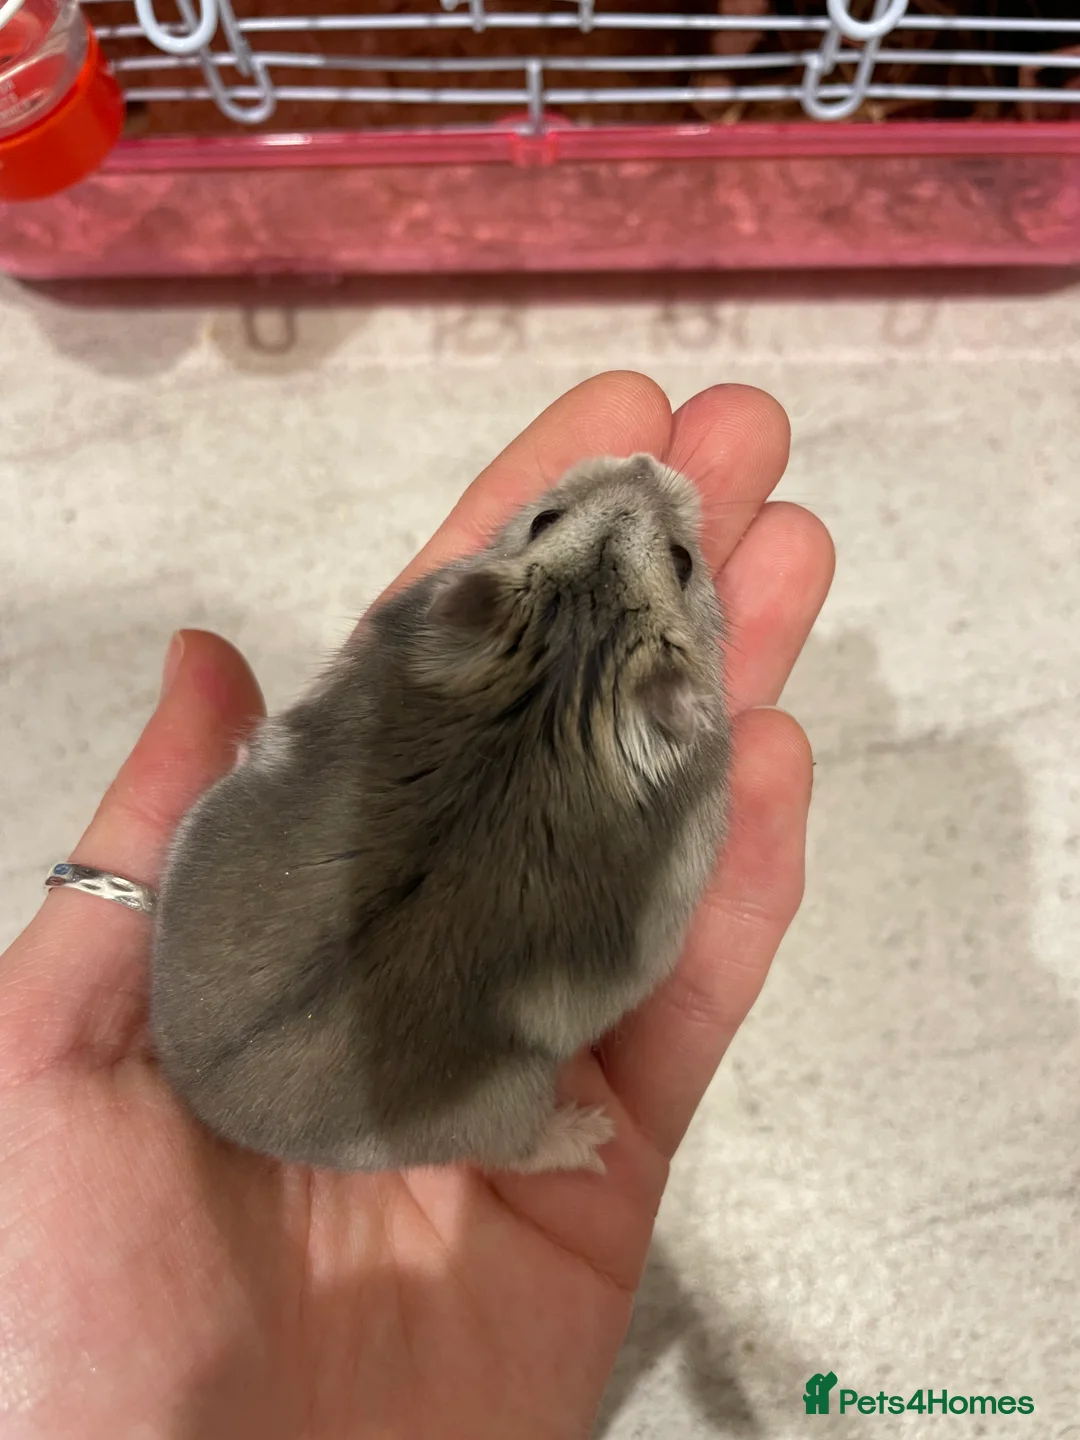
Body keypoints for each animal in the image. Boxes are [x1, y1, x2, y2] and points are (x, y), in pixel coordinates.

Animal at [151, 454, 730, 1175]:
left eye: (682, 560)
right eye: (544, 519)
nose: (645, 461)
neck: (558, 674)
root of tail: (207, 1102)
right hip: (510, 1105)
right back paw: (591, 1137)